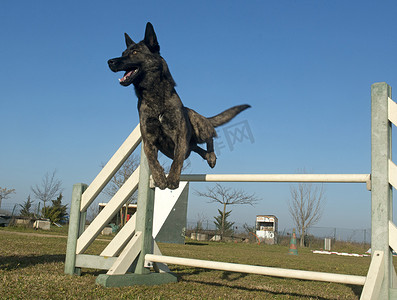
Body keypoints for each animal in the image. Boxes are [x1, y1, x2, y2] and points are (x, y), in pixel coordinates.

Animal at [107, 22, 251, 190]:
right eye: (123, 52)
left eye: (135, 52)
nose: (109, 61)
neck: (154, 96)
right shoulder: (148, 140)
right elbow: (153, 161)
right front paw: (160, 178)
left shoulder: (180, 135)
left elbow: (177, 160)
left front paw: (173, 179)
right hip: (191, 143)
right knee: (196, 147)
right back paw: (206, 155)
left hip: (198, 126)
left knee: (211, 134)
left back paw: (211, 155)